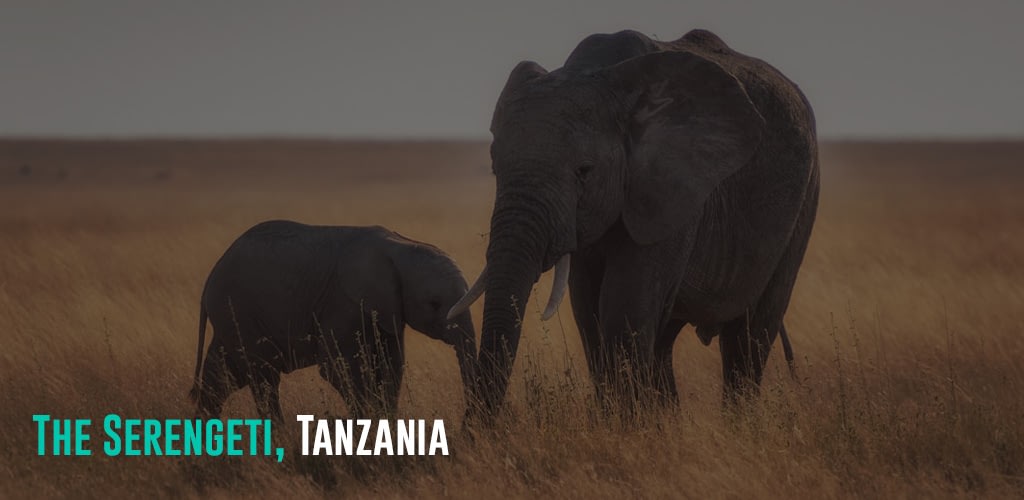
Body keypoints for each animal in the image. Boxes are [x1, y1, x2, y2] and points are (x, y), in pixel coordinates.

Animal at [190, 220, 477, 420]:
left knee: (223, 375)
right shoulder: (343, 302)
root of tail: (209, 280)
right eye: (434, 303)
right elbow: (339, 368)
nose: (466, 421)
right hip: (237, 310)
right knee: (263, 377)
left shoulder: (387, 309)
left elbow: (391, 366)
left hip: (232, 317)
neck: (399, 246)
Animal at [452, 29, 819, 415]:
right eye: (495, 168)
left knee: (749, 336)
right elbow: (589, 312)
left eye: (584, 171)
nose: (474, 428)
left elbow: (622, 309)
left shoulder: (673, 188)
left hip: (804, 200)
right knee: (664, 341)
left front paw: (628, 425)